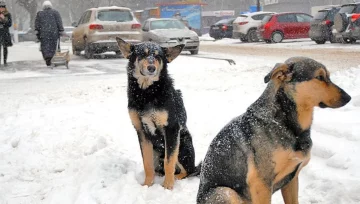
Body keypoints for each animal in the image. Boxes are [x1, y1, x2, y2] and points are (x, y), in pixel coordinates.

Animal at [116, 37, 200, 190]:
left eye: (158, 56)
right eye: (142, 54)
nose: (151, 68)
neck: (146, 93)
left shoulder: (171, 129)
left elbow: (169, 161)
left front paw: (167, 186)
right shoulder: (141, 131)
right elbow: (147, 163)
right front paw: (147, 185)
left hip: (182, 145)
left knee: (188, 170)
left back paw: (175, 179)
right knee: (159, 168)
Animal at [197, 56, 352, 203]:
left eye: (328, 77)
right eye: (319, 77)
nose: (348, 97)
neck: (284, 121)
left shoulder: (292, 179)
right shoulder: (261, 184)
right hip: (226, 192)